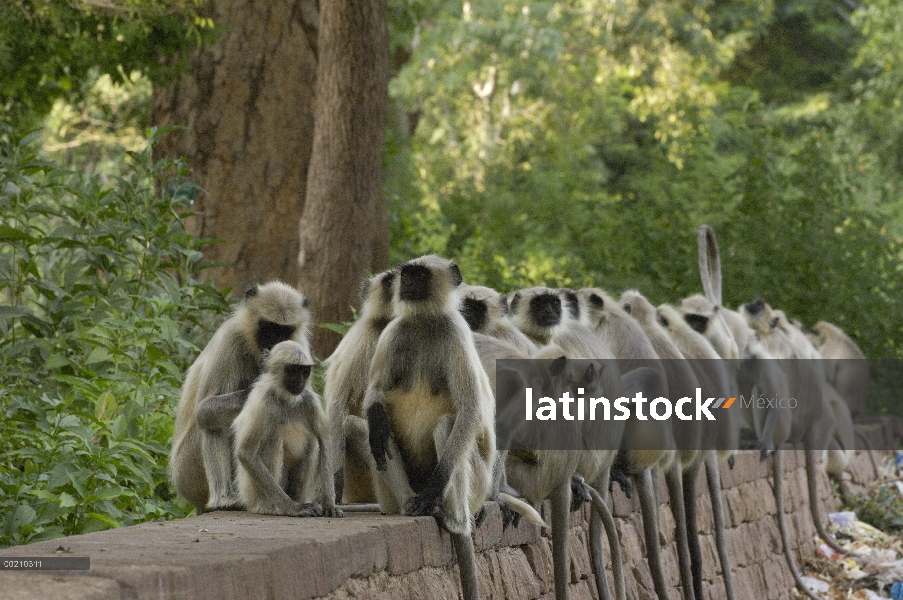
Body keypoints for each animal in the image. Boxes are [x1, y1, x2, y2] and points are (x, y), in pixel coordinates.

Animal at [173, 280, 314, 510]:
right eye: (268, 328)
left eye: (284, 331)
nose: (273, 344)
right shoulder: (230, 338)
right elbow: (204, 409)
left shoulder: (299, 346)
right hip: (186, 471)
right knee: (212, 421)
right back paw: (224, 499)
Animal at [233, 340, 342, 516]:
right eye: (293, 370)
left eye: (304, 371)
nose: (300, 381)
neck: (286, 398)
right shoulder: (264, 401)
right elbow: (246, 452)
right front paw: (293, 508)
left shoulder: (309, 399)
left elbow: (324, 442)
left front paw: (329, 504)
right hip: (254, 493)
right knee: (273, 439)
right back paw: (277, 507)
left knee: (313, 443)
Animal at [356, 255, 494, 600]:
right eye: (405, 274)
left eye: (419, 275)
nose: (406, 283)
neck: (423, 321)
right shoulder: (394, 331)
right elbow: (374, 394)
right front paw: (376, 416)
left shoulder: (456, 333)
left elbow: (470, 410)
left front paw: (435, 489)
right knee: (376, 433)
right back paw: (409, 503)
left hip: (479, 486)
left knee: (447, 425)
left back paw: (452, 519)